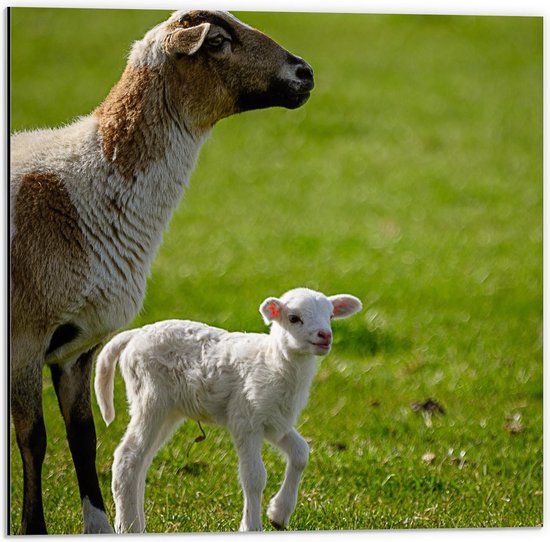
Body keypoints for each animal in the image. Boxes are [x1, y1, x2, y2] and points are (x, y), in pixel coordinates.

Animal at [95, 286, 362, 532]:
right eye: (294, 318)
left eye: (330, 315)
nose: (325, 335)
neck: (274, 362)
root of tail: (135, 335)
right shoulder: (246, 418)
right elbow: (254, 477)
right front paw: (252, 526)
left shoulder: (274, 421)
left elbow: (300, 454)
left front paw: (278, 514)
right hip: (150, 397)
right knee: (127, 456)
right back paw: (128, 526)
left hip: (169, 410)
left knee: (141, 462)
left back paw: (137, 524)